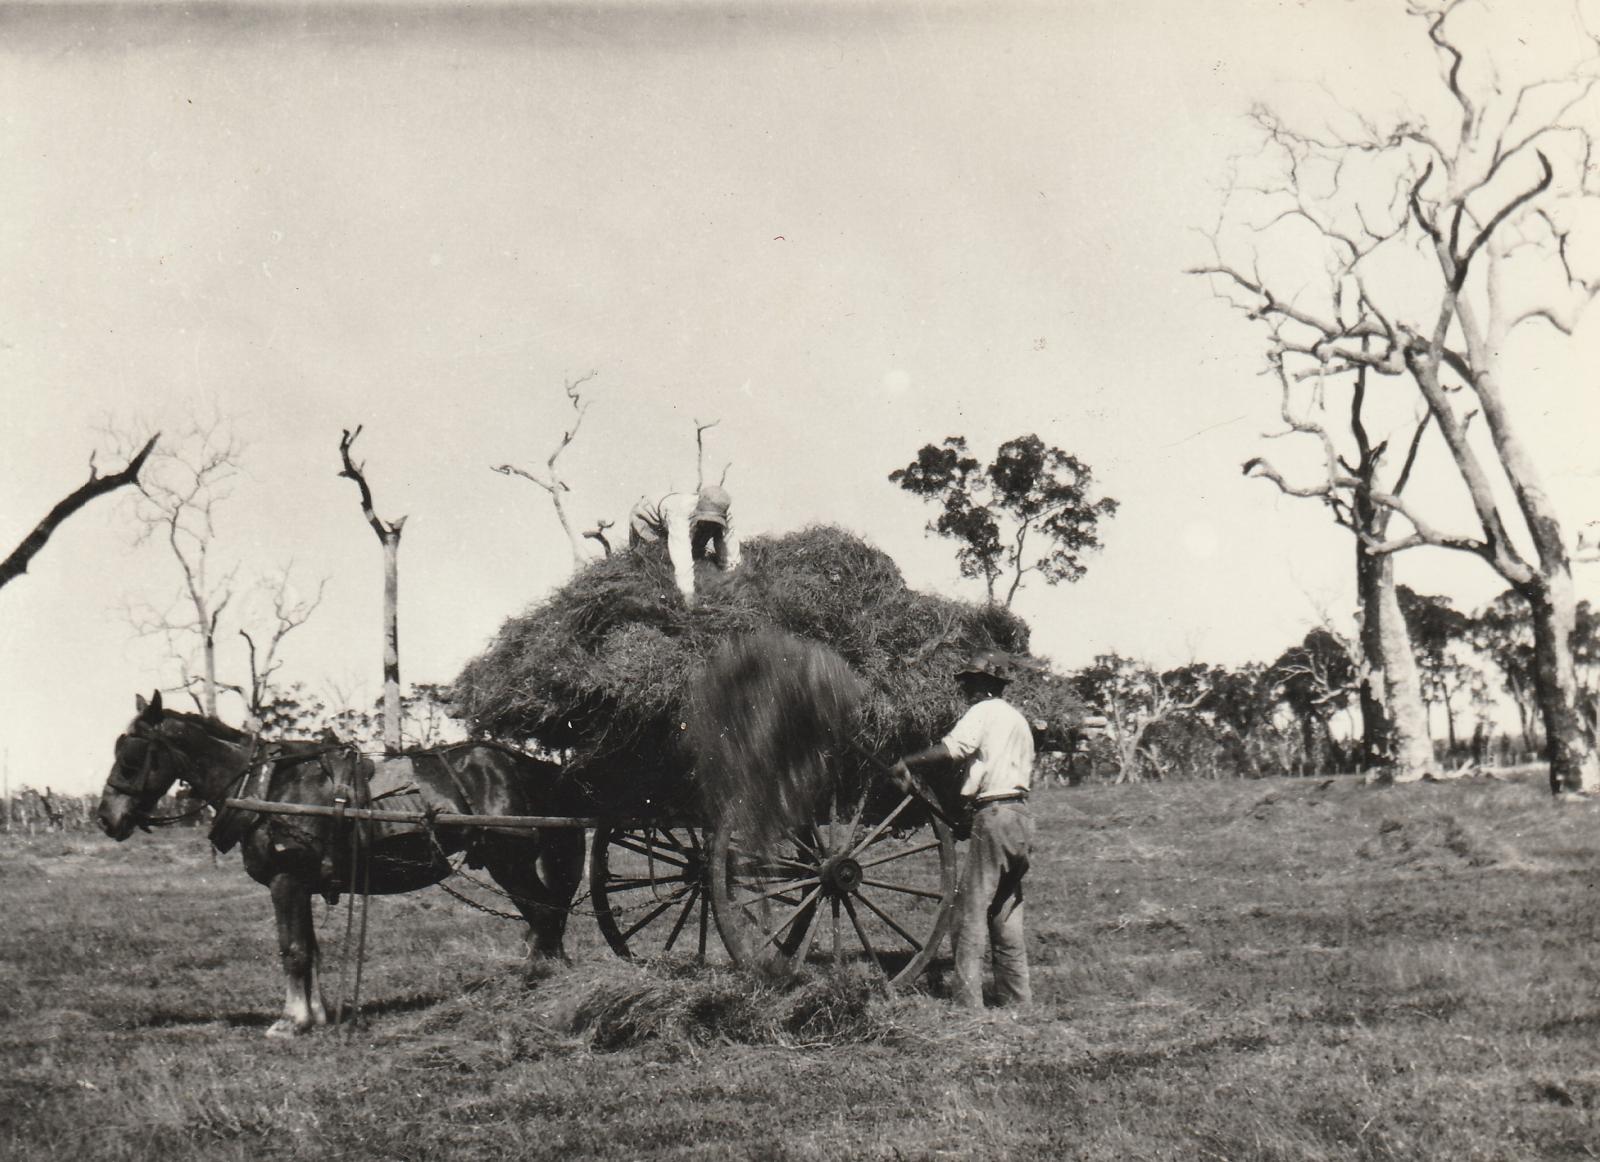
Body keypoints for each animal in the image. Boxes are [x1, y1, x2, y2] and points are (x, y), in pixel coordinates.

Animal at [93, 697, 585, 1043]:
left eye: (131, 757)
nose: (106, 818)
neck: (267, 788)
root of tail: (524, 764)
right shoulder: (302, 885)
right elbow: (311, 948)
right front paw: (318, 1013)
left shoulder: (286, 880)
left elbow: (293, 949)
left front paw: (290, 1021)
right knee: (546, 919)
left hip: (509, 861)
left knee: (544, 917)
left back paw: (534, 985)